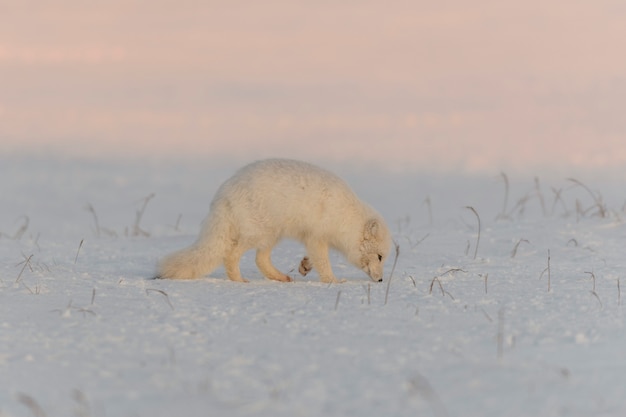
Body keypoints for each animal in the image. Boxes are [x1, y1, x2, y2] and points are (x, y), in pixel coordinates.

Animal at [156, 157, 390, 282]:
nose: (380, 280)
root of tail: (224, 193)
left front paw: (305, 266)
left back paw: (281, 278)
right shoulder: (317, 237)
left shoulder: (312, 238)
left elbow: (312, 259)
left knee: (260, 259)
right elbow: (324, 263)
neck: (346, 216)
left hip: (272, 235)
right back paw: (240, 281)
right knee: (231, 255)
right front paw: (334, 281)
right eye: (379, 257)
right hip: (258, 233)